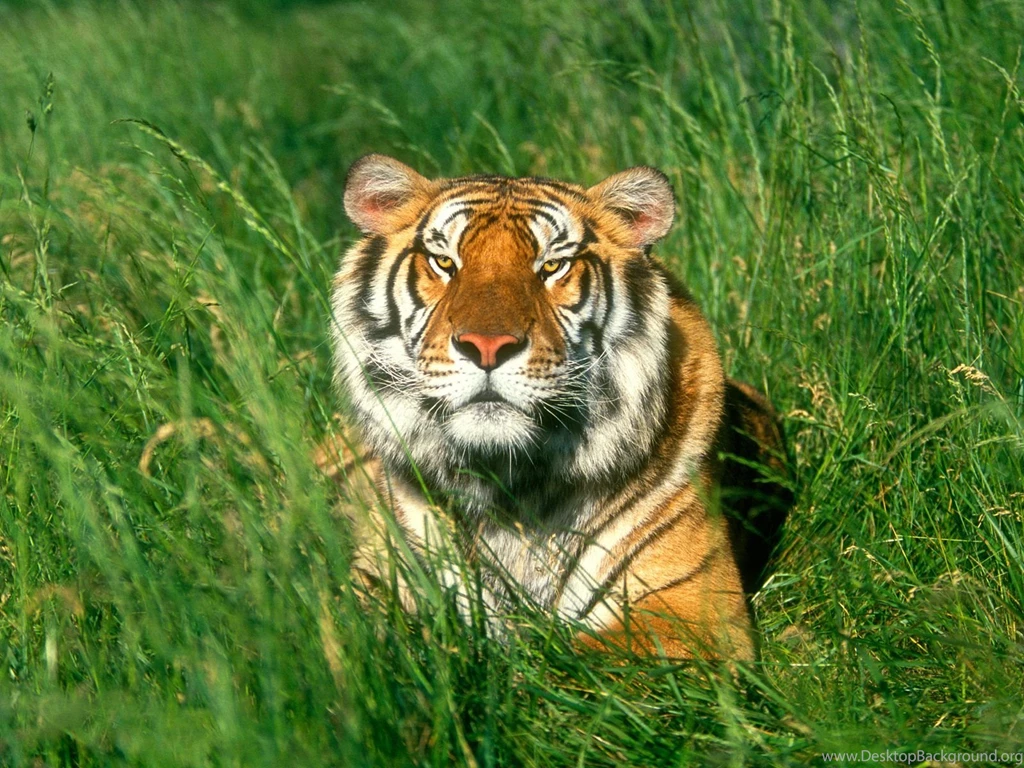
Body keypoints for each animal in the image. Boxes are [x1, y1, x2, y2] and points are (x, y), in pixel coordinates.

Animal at [328, 153, 791, 660]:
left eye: (552, 266)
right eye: (445, 262)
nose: (487, 346)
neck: (508, 484)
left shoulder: (692, 611)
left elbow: (564, 663)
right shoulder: (378, 580)